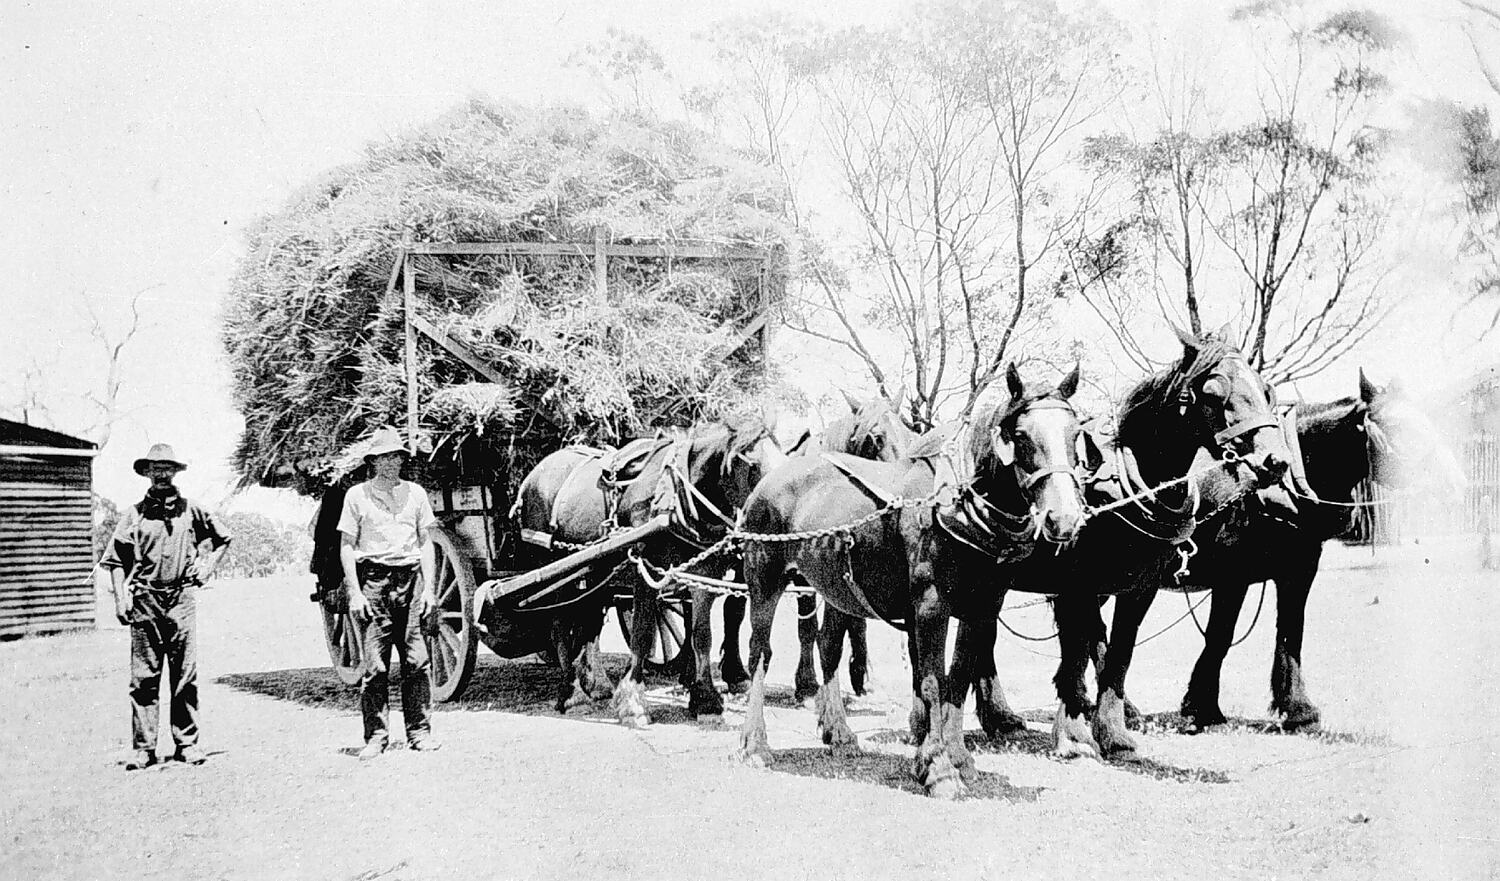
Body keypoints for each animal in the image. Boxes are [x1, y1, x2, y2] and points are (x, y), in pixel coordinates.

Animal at [738, 364, 1092, 798]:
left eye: (1075, 434)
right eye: (1022, 435)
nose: (1065, 518)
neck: (956, 505)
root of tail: (772, 478)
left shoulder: (981, 609)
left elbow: (958, 680)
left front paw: (957, 758)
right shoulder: (930, 607)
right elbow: (932, 682)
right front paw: (939, 769)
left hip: (836, 589)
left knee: (827, 647)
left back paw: (839, 734)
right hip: (764, 580)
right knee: (760, 653)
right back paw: (755, 745)